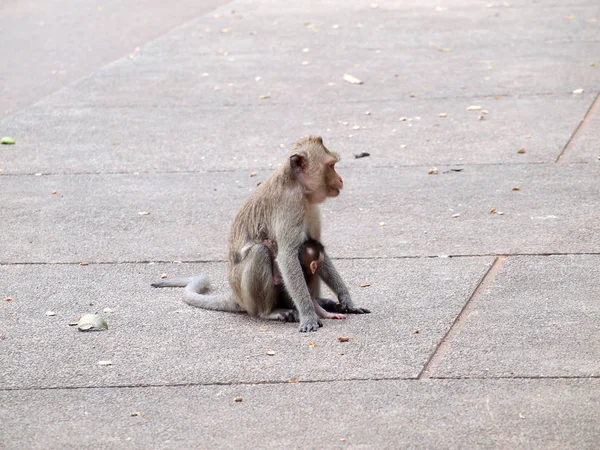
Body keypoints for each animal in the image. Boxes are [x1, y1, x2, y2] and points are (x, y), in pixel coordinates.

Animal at [152, 135, 370, 332]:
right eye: (331, 165)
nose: (340, 179)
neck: (298, 186)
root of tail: (236, 295)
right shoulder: (291, 205)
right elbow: (287, 257)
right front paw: (308, 315)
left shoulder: (312, 208)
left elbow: (317, 249)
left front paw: (347, 300)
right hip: (246, 293)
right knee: (259, 252)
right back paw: (270, 312)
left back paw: (321, 301)